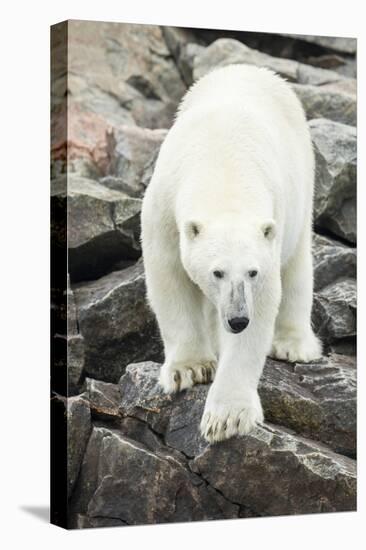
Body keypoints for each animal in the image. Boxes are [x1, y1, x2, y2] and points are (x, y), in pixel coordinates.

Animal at [140, 64, 320, 444]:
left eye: (251, 272)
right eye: (217, 272)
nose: (238, 320)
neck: (223, 169)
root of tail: (250, 67)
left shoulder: (270, 229)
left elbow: (265, 301)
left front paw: (227, 417)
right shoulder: (164, 206)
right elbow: (169, 277)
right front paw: (189, 369)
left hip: (303, 184)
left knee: (297, 266)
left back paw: (293, 344)